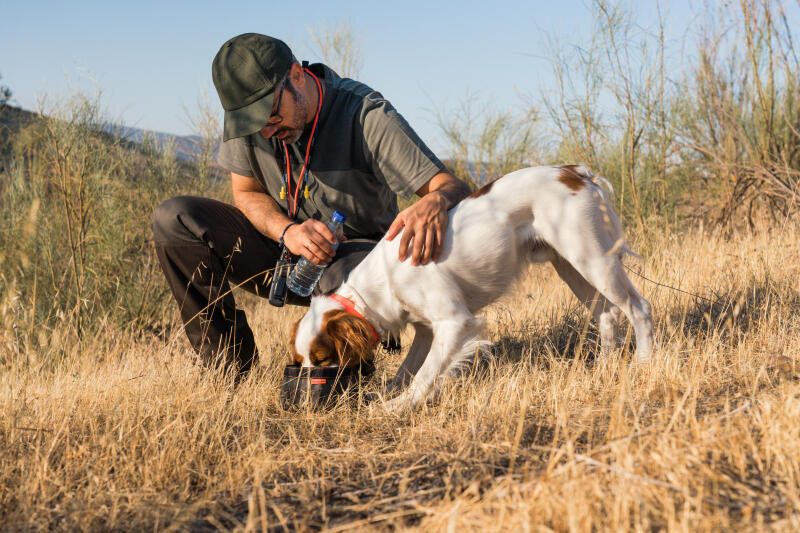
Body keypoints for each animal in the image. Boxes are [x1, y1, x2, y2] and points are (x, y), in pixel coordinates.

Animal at [290, 165, 652, 408]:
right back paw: (603, 368)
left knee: (639, 308)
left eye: (322, 359)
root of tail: (574, 171)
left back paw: (644, 363)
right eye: (300, 359)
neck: (382, 280)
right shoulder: (426, 330)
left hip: (593, 259)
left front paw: (399, 406)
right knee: (607, 315)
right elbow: (408, 369)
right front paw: (391, 394)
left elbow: (424, 374)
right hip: (572, 267)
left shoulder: (456, 322)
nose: (307, 392)